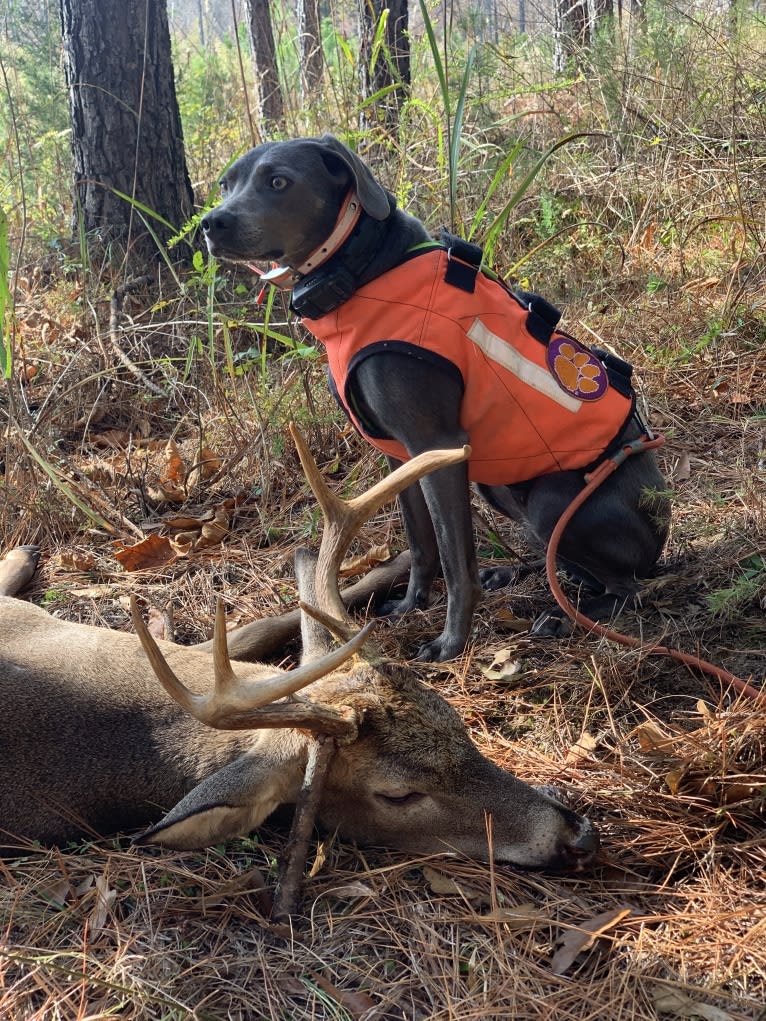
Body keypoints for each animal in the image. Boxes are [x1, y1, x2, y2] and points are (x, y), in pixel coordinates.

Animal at [202, 133, 669, 661]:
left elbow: (454, 558)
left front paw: (450, 641)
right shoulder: (397, 454)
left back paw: (565, 617)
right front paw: (410, 605)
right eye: (226, 184)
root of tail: (663, 525)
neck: (364, 268)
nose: (211, 223)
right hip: (499, 489)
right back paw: (511, 573)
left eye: (279, 181)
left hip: (553, 504)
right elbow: (421, 541)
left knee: (626, 587)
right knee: (566, 568)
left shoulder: (438, 445)